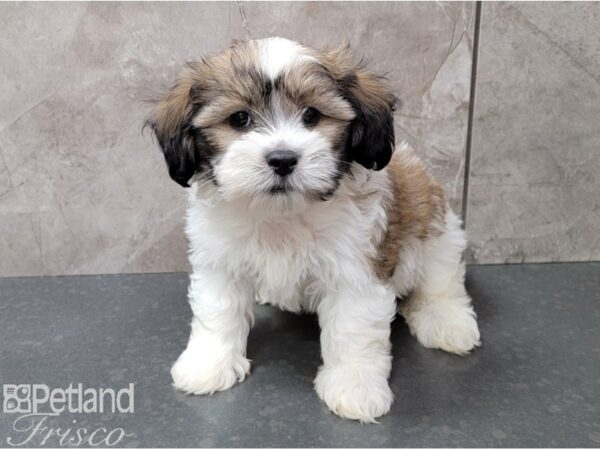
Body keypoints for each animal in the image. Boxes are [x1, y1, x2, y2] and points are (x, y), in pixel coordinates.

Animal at [148, 37, 480, 424]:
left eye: (311, 116)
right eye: (240, 119)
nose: (282, 159)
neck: (283, 215)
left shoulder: (356, 270)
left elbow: (353, 329)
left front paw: (355, 387)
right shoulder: (220, 260)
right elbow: (217, 312)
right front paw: (208, 365)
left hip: (438, 229)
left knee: (441, 282)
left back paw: (448, 323)